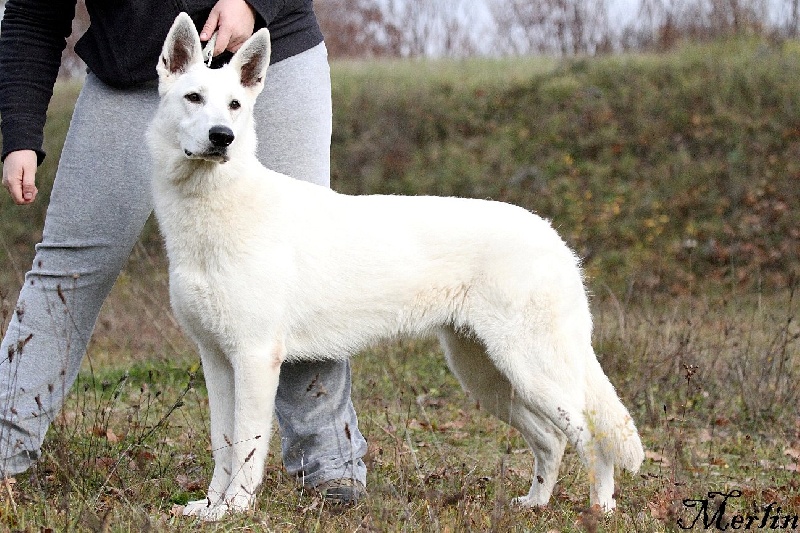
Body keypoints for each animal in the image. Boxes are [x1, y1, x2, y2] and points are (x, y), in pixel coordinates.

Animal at [148, 12, 644, 520]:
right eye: (193, 98)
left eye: (234, 105)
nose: (221, 138)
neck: (212, 208)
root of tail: (554, 237)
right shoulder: (217, 361)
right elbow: (223, 446)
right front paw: (209, 507)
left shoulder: (254, 358)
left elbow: (247, 450)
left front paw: (235, 510)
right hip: (487, 375)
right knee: (551, 441)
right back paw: (534, 504)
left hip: (532, 370)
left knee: (593, 439)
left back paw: (600, 512)